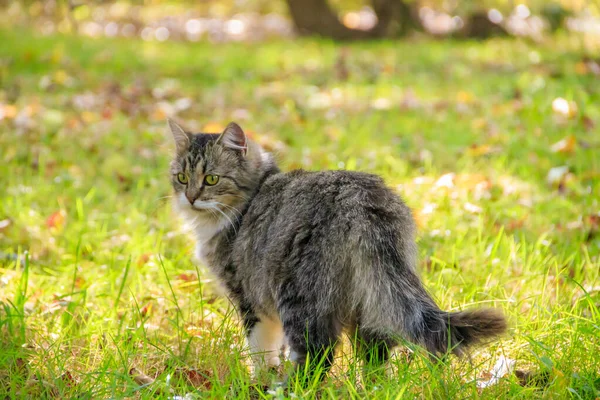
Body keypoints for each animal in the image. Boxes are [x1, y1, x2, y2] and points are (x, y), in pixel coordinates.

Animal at [168, 119, 506, 384]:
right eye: (181, 178)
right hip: (371, 298)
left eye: (211, 179)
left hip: (299, 295)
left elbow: (261, 349)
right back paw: (373, 388)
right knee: (376, 355)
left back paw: (288, 390)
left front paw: (260, 381)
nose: (190, 197)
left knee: (318, 354)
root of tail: (358, 197)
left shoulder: (249, 298)